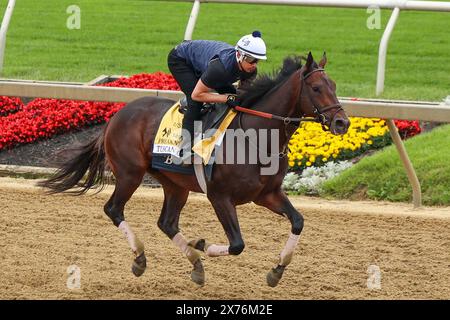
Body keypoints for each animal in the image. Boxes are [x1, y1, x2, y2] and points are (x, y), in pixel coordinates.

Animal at [37, 52, 350, 288]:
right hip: (130, 174)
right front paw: (202, 244)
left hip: (175, 184)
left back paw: (195, 265)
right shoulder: (219, 196)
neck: (256, 137)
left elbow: (298, 222)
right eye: (316, 88)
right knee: (114, 209)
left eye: (335, 85)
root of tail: (117, 115)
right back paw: (141, 258)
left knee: (166, 223)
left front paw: (276, 270)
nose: (342, 123)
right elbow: (237, 245)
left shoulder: (267, 194)